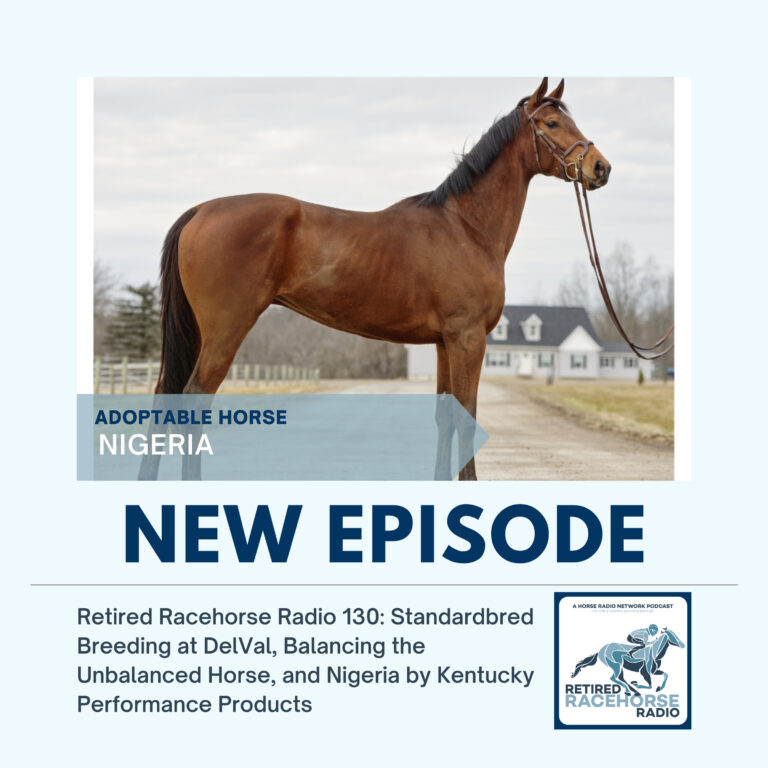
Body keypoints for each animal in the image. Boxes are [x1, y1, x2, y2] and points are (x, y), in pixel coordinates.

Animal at [148, 77, 611, 481]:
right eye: (551, 123)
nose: (600, 167)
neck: (465, 228)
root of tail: (201, 210)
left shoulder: (445, 342)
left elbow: (445, 417)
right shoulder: (468, 338)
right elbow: (466, 417)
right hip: (226, 329)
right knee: (193, 401)